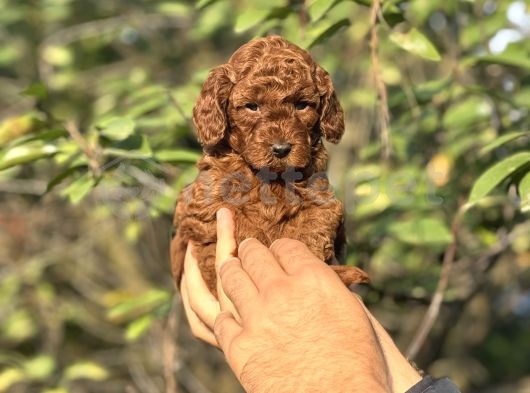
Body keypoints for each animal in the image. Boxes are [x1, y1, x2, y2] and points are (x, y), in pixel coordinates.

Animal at [170, 36, 368, 294]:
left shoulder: (324, 199)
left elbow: (315, 223)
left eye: (301, 105)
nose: (281, 149)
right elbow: (238, 219)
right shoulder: (202, 205)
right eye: (252, 106)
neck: (270, 178)